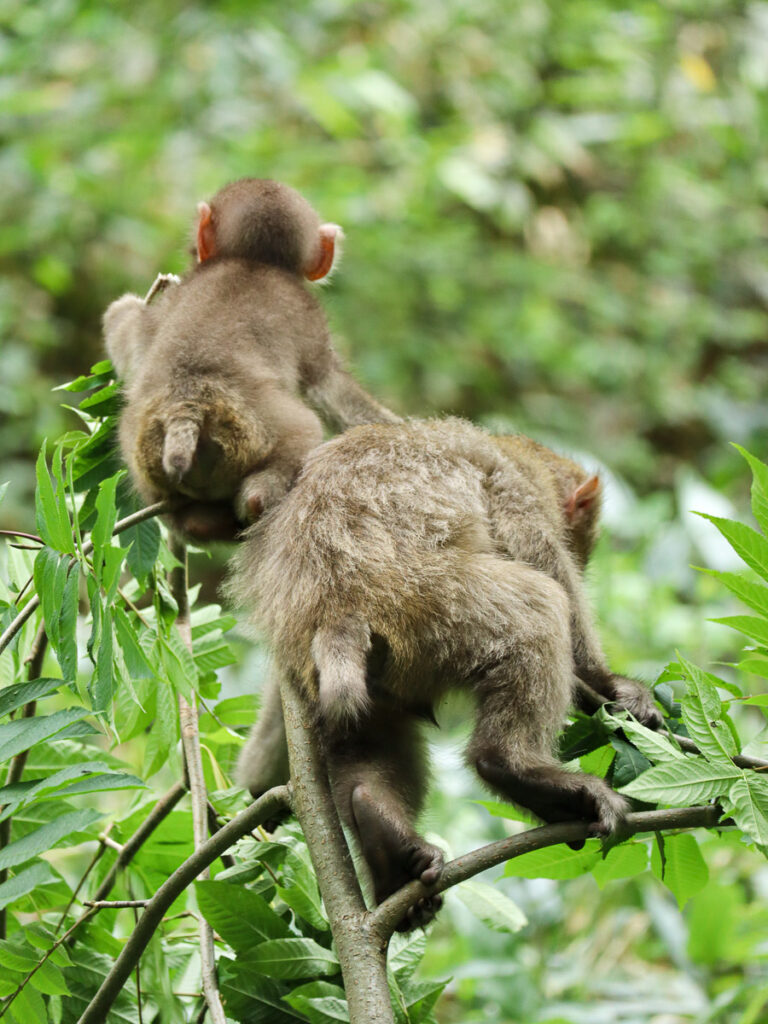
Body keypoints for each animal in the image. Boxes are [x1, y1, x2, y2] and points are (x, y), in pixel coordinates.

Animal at [103, 178, 398, 541]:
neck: (253, 261)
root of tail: (187, 405)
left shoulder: (178, 294)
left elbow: (129, 329)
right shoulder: (308, 312)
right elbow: (328, 383)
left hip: (142, 446)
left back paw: (202, 522)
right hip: (259, 428)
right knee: (304, 429)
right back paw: (257, 500)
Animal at [229, 419, 662, 929]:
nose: (585, 556)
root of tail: (338, 607)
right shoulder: (514, 491)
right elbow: (546, 567)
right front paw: (608, 683)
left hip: (344, 661)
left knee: (367, 732)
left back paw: (379, 828)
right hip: (436, 604)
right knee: (538, 607)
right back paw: (514, 767)